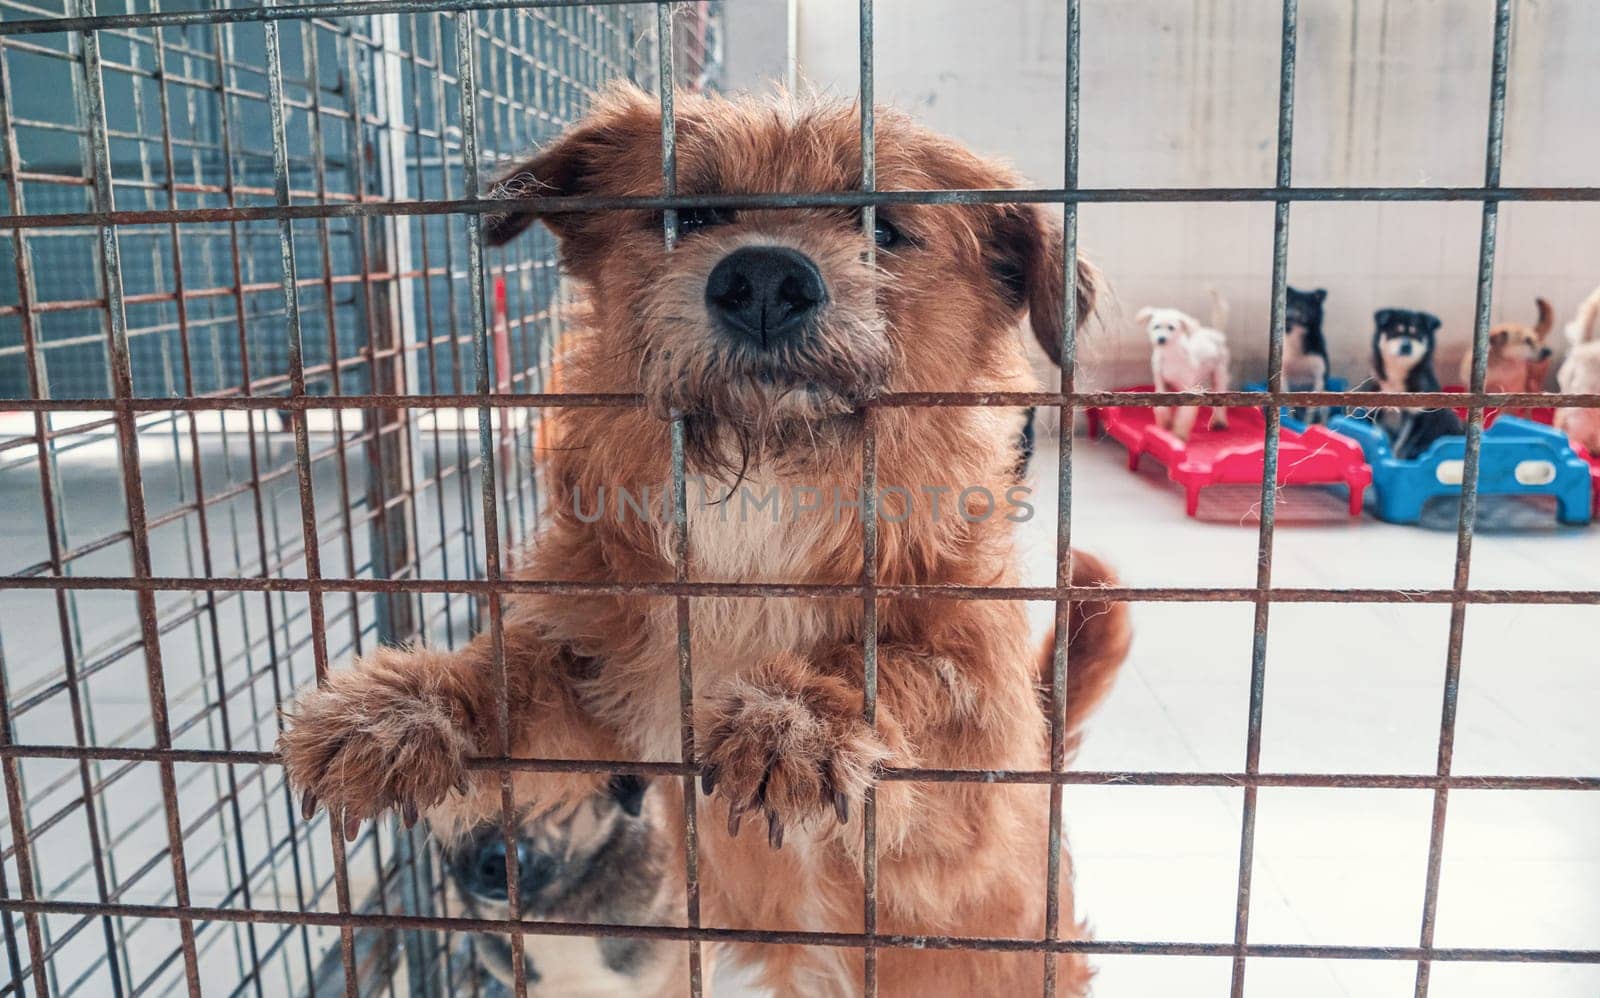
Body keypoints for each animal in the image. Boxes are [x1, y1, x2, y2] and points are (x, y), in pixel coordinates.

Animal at [1139, 291, 1235, 441]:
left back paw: (1219, 421)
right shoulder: (1161, 382)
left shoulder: (1189, 388)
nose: (1161, 339)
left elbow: (1185, 413)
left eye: (1171, 327)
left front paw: (1179, 435)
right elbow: (1161, 407)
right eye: (1156, 326)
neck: (1171, 355)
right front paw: (1165, 423)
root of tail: (1216, 333)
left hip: (1219, 373)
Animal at [1363, 308, 1465, 460]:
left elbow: (1402, 445)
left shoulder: (1417, 415)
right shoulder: (1374, 410)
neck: (1397, 375)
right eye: (1395, 331)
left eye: (1417, 334)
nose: (1406, 345)